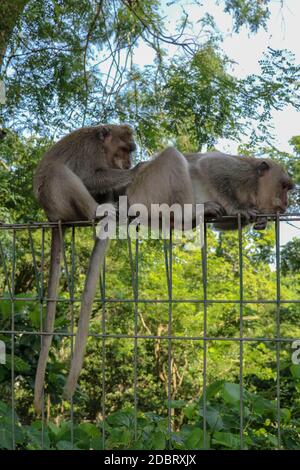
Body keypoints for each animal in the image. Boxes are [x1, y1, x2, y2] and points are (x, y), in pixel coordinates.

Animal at [33, 124, 137, 412]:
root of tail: (51, 217)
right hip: (59, 201)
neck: (103, 145)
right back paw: (100, 211)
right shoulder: (91, 153)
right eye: (124, 149)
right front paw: (135, 172)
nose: (128, 163)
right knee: (59, 172)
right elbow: (89, 177)